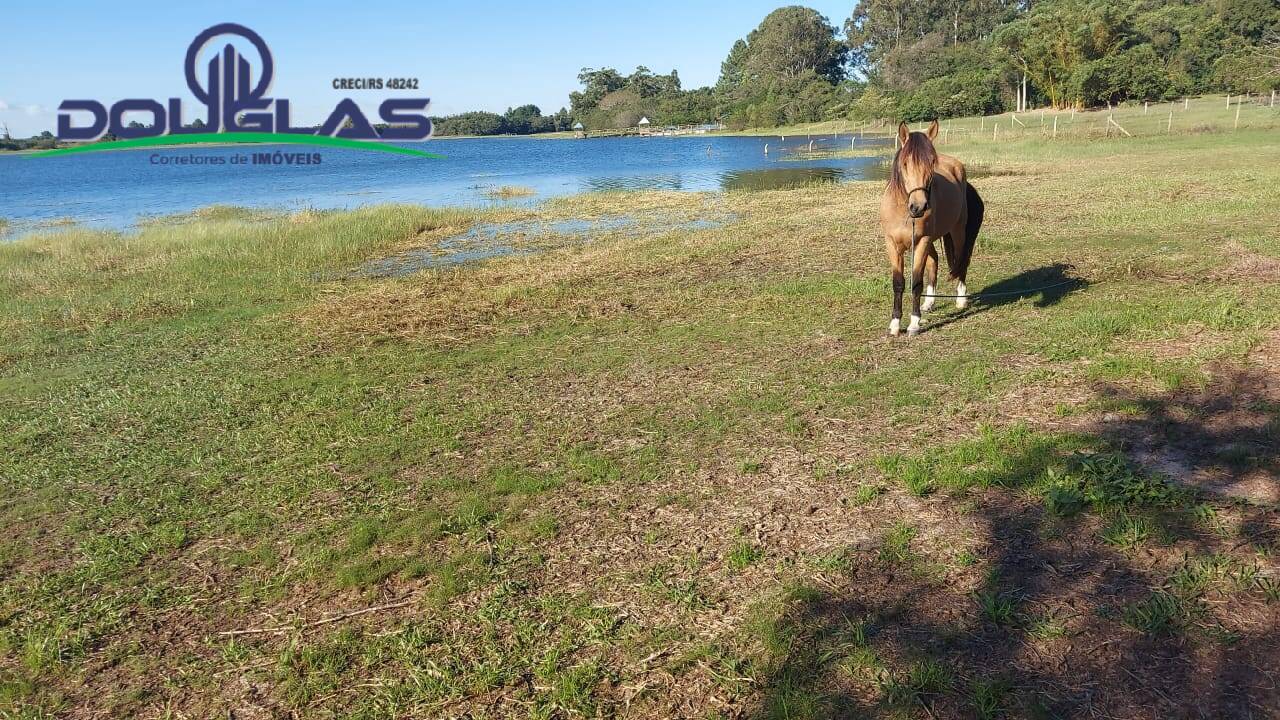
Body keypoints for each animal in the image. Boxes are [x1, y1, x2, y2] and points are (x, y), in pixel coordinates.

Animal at [875, 120, 983, 335]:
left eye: (932, 162)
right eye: (905, 163)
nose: (919, 207)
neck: (903, 210)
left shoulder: (921, 242)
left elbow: (916, 281)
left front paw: (914, 323)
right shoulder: (892, 245)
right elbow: (898, 282)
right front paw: (895, 324)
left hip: (957, 232)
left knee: (961, 261)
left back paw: (961, 299)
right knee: (934, 262)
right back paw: (929, 302)